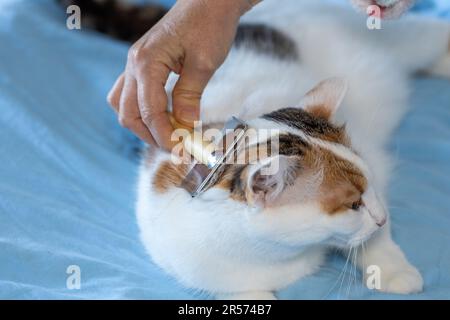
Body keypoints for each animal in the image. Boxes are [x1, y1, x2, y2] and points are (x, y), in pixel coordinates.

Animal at [59, 0, 450, 298]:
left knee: (428, 35)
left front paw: (392, 268)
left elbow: (375, 239)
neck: (280, 257)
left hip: (401, 40)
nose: (382, 215)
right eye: (353, 204)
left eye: (364, 193)